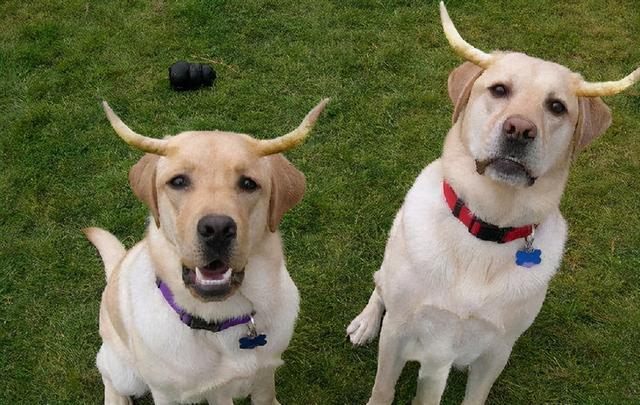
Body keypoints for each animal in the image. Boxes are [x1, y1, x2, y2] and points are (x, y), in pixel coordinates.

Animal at [84, 98, 328, 404]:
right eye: (178, 181)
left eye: (248, 183)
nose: (217, 228)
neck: (222, 320)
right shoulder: (169, 394)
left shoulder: (265, 373)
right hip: (126, 374)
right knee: (107, 373)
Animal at [348, 3, 636, 404]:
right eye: (499, 89)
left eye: (557, 107)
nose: (519, 129)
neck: (487, 225)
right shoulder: (399, 333)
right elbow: (382, 388)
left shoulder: (498, 350)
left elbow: (475, 394)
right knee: (379, 286)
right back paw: (364, 322)